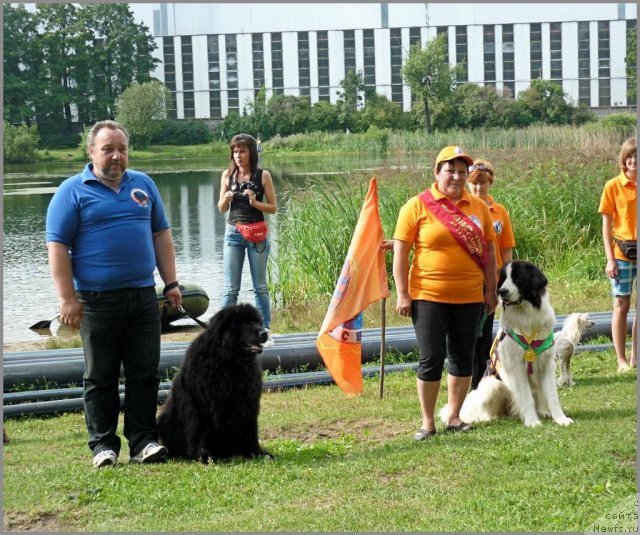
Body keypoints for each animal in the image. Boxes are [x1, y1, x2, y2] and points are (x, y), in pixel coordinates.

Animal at [159, 304, 274, 462]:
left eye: (257, 321)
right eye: (244, 324)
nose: (264, 333)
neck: (229, 361)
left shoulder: (249, 402)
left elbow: (251, 429)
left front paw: (257, 452)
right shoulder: (202, 403)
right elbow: (200, 430)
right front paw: (203, 456)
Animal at [440, 262, 576, 430]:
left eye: (518, 279)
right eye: (503, 279)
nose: (501, 291)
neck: (526, 316)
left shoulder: (547, 364)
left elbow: (552, 396)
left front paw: (561, 418)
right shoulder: (517, 367)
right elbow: (526, 397)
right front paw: (532, 421)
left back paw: (542, 412)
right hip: (492, 385)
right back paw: (484, 418)